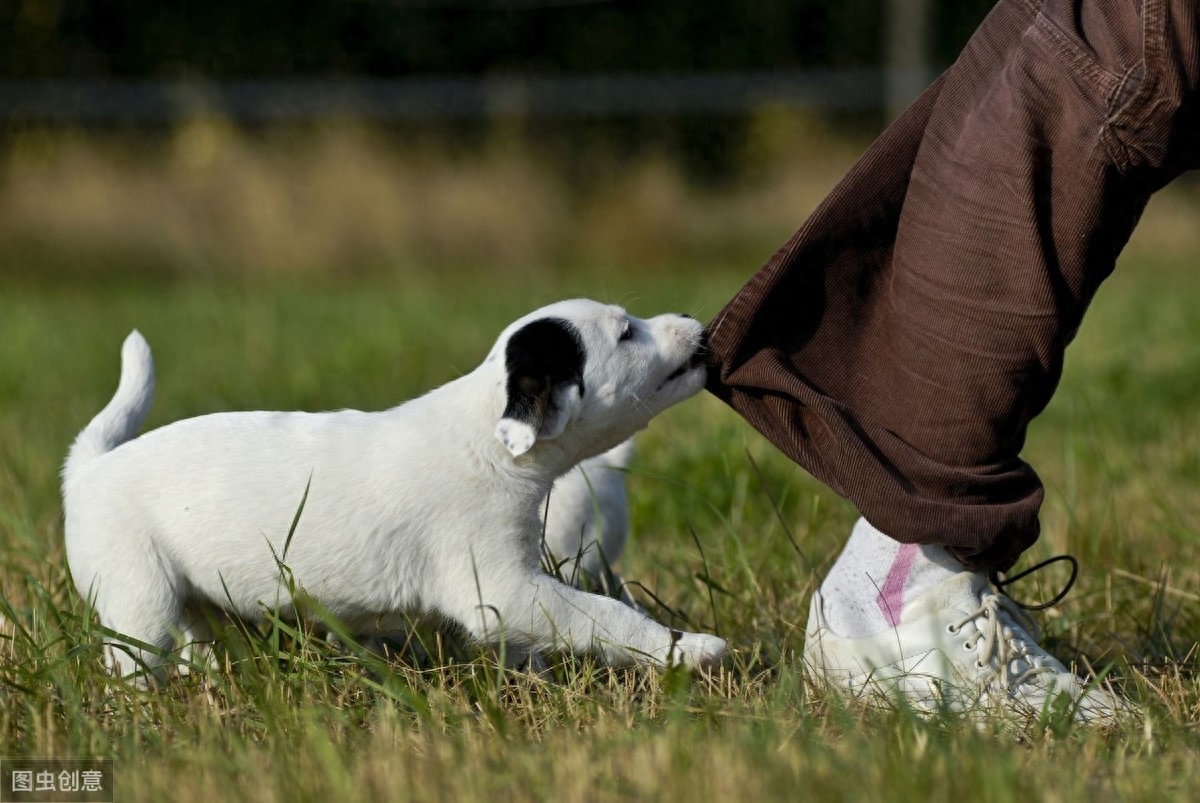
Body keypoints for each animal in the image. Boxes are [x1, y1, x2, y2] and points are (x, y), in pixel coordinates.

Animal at [60, 297, 724, 681]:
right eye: (627, 333)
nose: (697, 323)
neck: (485, 440)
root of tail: (90, 469)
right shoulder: (501, 587)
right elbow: (605, 615)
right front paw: (686, 649)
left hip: (195, 603)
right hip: (138, 604)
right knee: (137, 664)